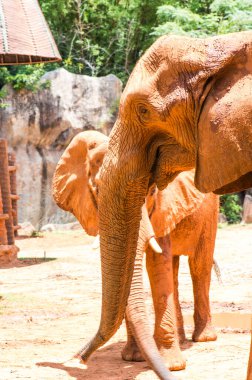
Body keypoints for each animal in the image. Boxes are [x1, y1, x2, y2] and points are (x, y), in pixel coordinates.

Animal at [52, 131, 219, 372]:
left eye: (151, 191)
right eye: (97, 191)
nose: (78, 358)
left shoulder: (164, 206)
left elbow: (158, 263)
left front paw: (172, 366)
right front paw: (133, 358)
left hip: (211, 212)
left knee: (199, 266)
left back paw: (204, 338)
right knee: (175, 271)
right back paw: (181, 339)